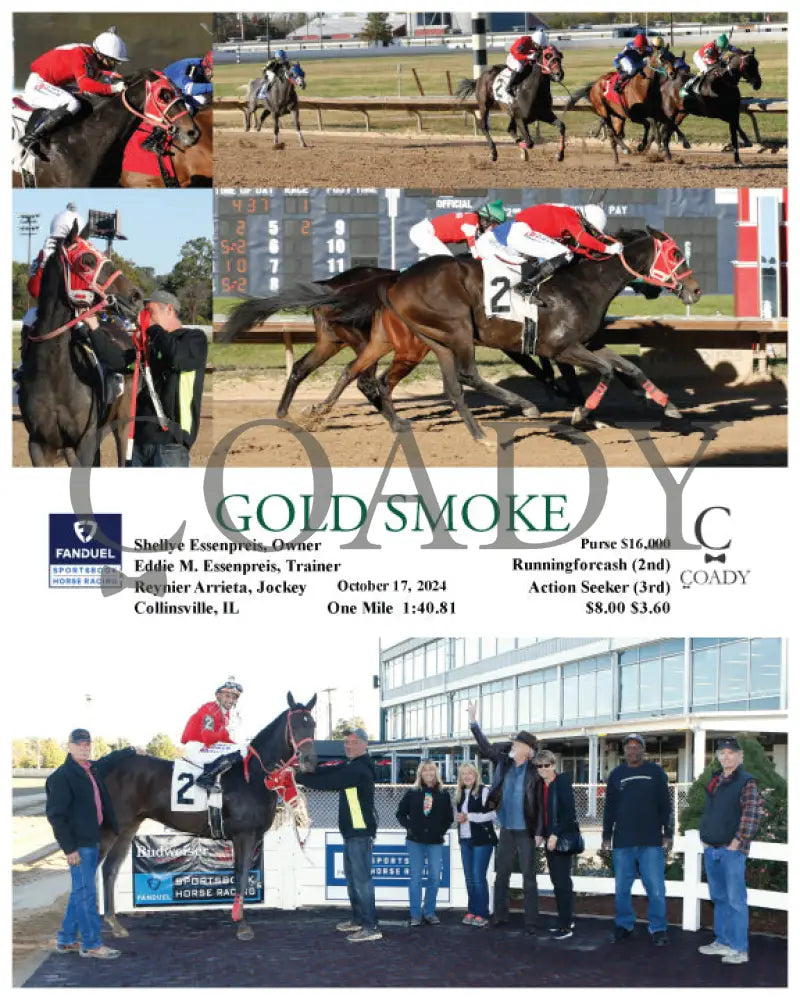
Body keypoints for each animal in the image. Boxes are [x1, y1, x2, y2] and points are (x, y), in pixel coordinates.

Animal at [17, 220, 143, 466]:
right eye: (87, 260)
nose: (136, 296)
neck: (54, 373)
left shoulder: (85, 440)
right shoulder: (39, 444)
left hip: (124, 422)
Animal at [99, 692, 317, 942]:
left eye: (312, 724)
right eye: (296, 725)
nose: (310, 761)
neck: (252, 776)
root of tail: (108, 763)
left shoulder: (248, 836)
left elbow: (241, 874)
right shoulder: (244, 835)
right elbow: (241, 874)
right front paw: (241, 923)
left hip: (128, 828)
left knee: (109, 868)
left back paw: (114, 923)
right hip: (112, 828)